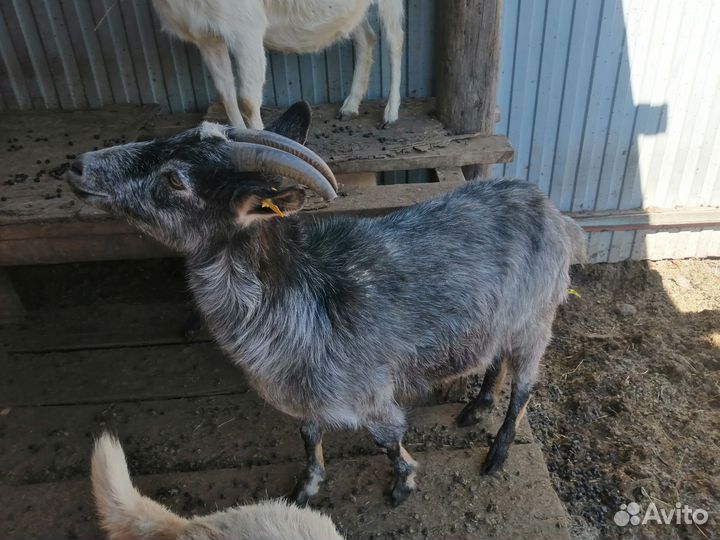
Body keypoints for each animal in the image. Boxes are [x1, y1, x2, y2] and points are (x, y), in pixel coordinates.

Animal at [67, 102, 586, 506]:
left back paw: (497, 452)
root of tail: (549, 208)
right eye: (169, 138)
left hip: (537, 320)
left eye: (175, 180)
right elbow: (309, 436)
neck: (300, 297)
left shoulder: (370, 393)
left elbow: (388, 439)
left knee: (524, 386)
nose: (77, 165)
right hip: (501, 321)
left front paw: (403, 484)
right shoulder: (307, 397)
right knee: (495, 358)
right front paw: (308, 485)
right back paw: (477, 406)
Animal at [152, 0, 404, 129]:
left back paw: (390, 113)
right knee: (366, 37)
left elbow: (247, 101)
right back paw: (350, 106)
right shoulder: (207, 39)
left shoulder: (246, 28)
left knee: (395, 41)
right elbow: (227, 97)